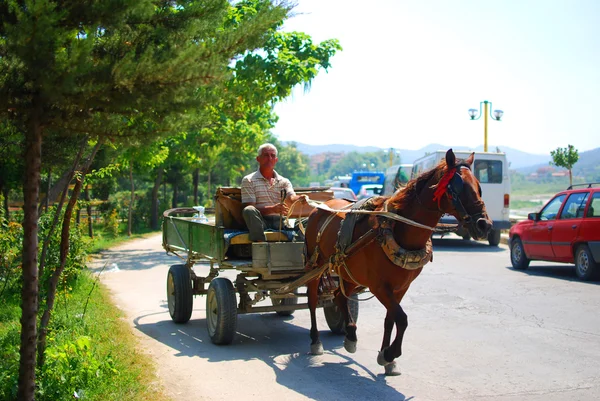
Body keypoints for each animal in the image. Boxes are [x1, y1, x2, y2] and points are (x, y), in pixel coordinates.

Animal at [304, 148, 492, 376]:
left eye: (479, 186)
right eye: (457, 188)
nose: (484, 225)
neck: (399, 229)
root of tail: (319, 208)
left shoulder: (401, 287)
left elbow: (391, 319)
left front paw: (386, 357)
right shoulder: (379, 286)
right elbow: (402, 318)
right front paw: (391, 353)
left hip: (348, 271)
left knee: (340, 295)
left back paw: (351, 335)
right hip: (315, 265)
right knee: (313, 299)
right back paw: (315, 341)